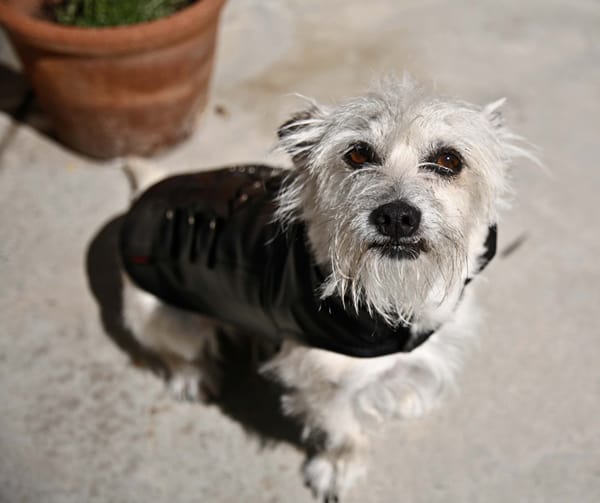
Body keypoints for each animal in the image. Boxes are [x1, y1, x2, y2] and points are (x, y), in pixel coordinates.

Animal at [119, 77, 532, 502]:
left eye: (449, 160)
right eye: (357, 154)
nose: (396, 217)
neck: (391, 297)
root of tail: (147, 192)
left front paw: (402, 393)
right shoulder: (325, 386)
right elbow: (344, 435)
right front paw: (337, 471)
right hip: (164, 316)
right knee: (176, 352)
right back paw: (193, 378)